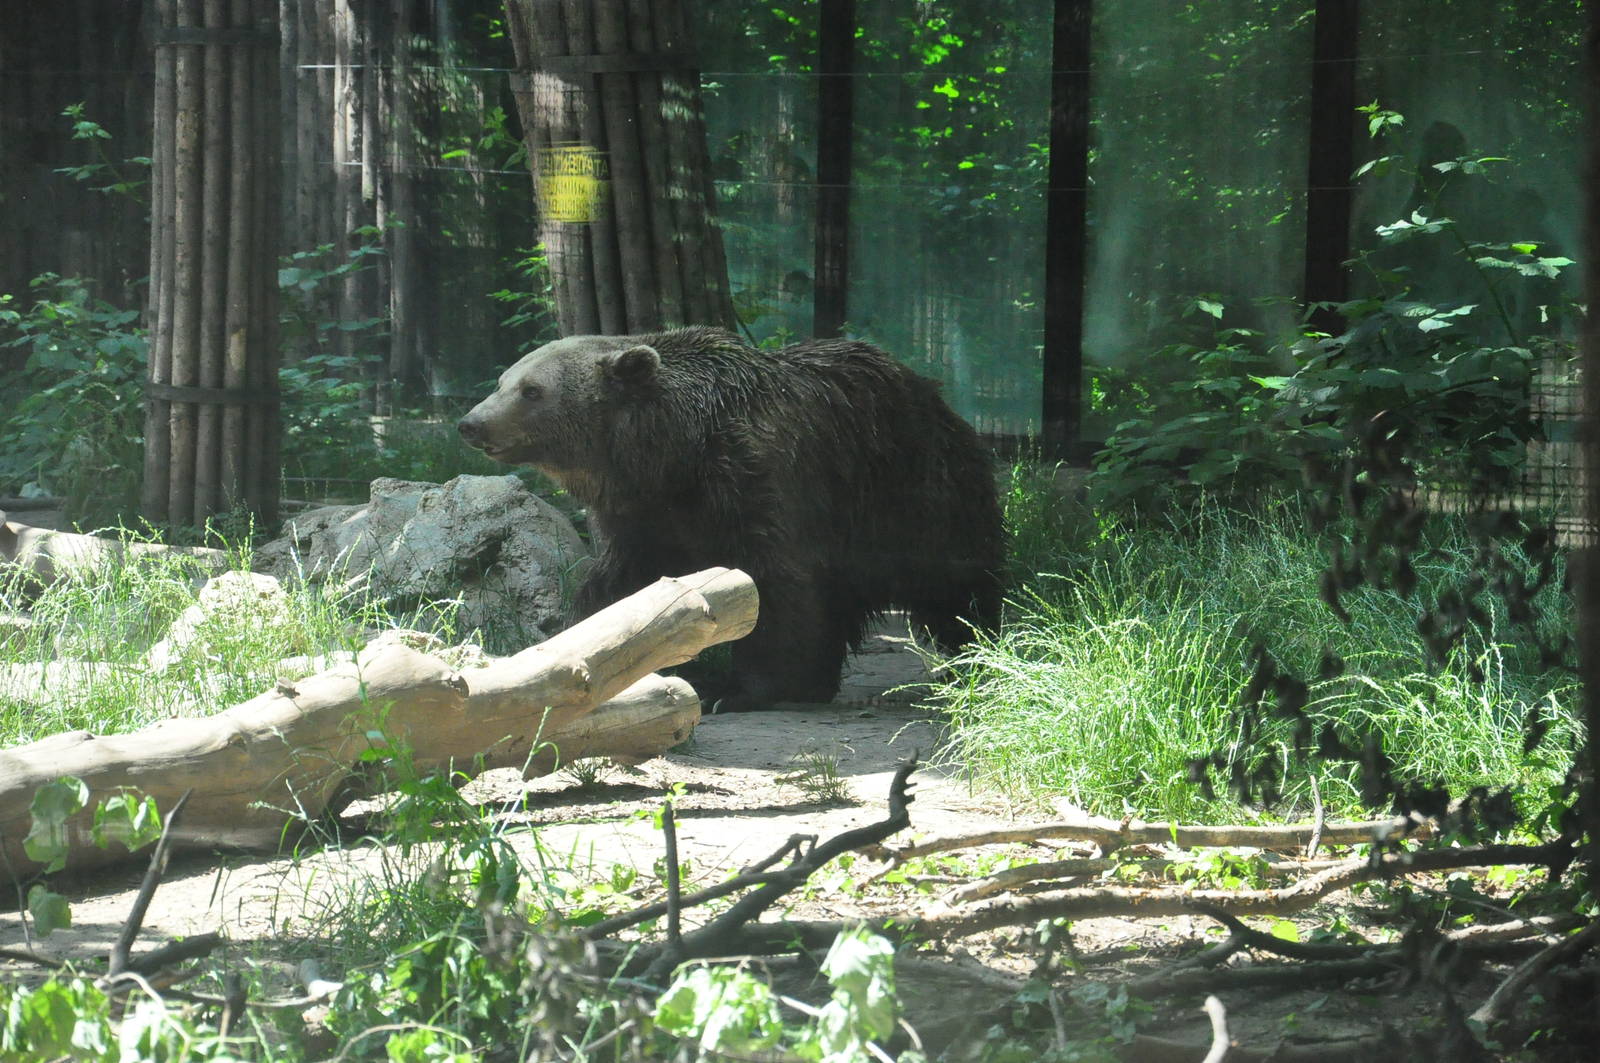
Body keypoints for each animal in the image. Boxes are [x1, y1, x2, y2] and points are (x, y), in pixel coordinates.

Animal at [457, 325, 1003, 709]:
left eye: (532, 390)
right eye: (505, 380)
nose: (471, 423)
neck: (674, 454)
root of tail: (933, 394)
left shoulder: (753, 479)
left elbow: (772, 585)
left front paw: (740, 689)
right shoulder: (642, 516)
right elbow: (619, 585)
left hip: (914, 492)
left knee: (956, 586)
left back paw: (970, 658)